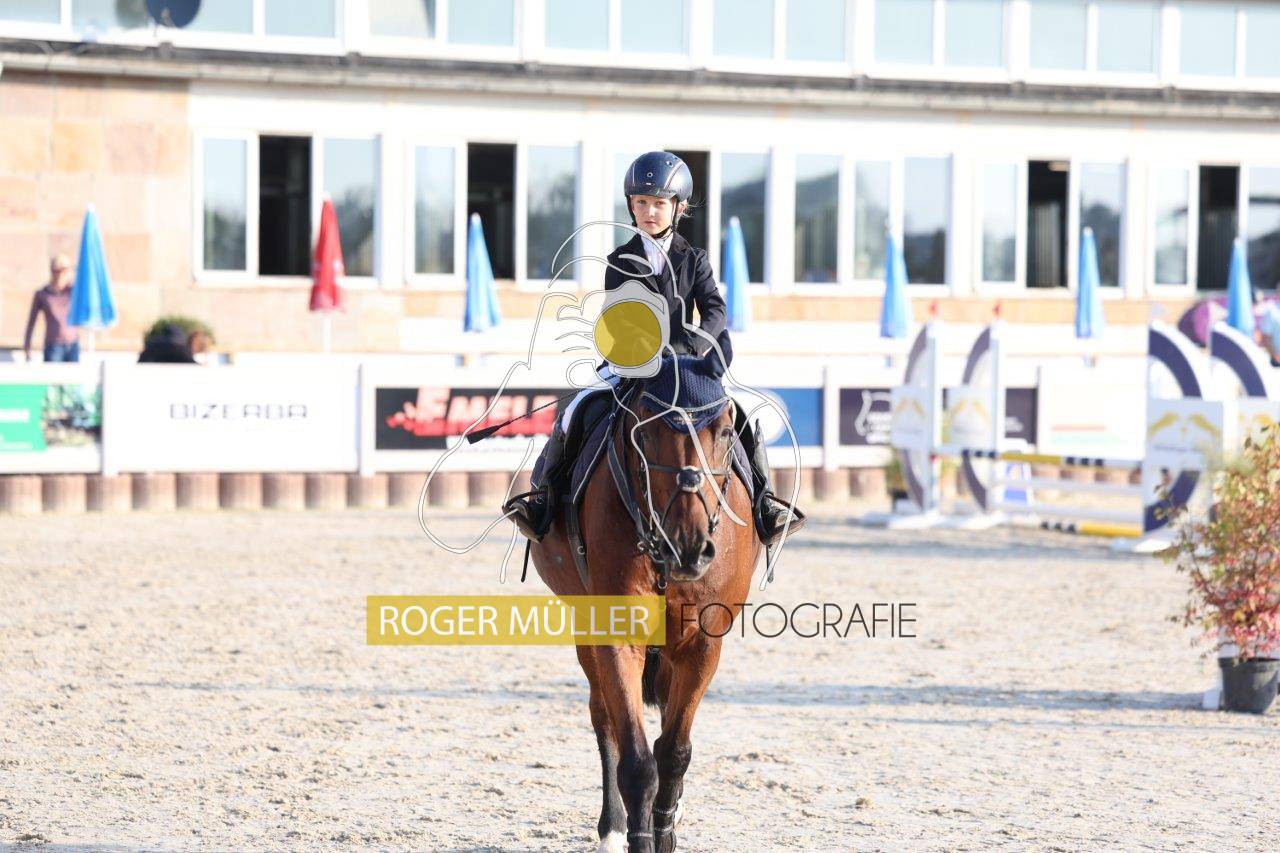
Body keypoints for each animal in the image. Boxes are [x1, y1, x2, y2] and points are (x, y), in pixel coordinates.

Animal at [528, 348, 761, 853]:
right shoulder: (617, 637)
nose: (689, 548)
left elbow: (673, 751)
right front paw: (635, 833)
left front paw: (666, 827)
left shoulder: (702, 644)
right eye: (646, 432)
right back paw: (612, 829)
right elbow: (636, 761)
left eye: (725, 432)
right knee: (604, 721)